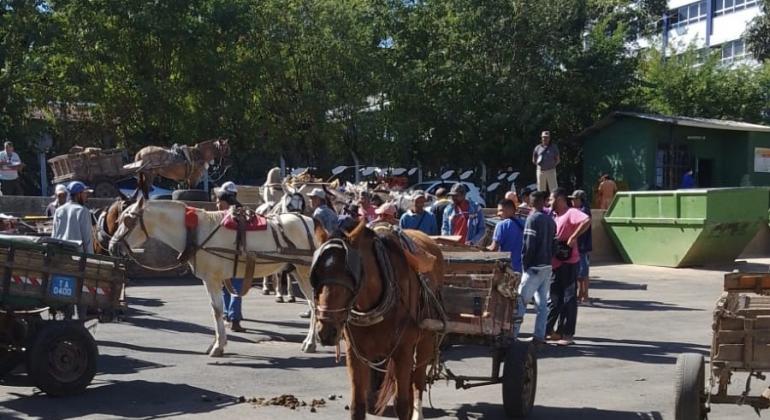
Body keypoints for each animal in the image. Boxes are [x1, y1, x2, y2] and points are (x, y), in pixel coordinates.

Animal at [109, 199, 320, 356]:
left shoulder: (212, 279)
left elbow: (218, 310)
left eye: (127, 221)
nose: (112, 246)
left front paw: (218, 346)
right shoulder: (210, 280)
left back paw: (311, 342)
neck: (195, 232)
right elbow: (214, 310)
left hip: (304, 271)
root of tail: (310, 221)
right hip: (296, 270)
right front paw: (218, 343)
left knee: (314, 304)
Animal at [308, 223, 444, 420]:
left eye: (351, 276)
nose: (326, 332)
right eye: (316, 274)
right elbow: (357, 405)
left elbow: (402, 404)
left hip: (426, 340)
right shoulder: (355, 353)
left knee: (418, 381)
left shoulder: (403, 351)